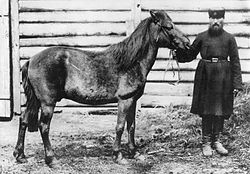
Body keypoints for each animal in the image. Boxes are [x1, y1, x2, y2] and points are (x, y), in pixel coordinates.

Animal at [13, 10, 189, 166]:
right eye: (169, 26)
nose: (187, 43)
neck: (131, 63)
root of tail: (31, 60)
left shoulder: (132, 100)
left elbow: (131, 126)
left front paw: (134, 153)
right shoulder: (124, 100)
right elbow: (120, 127)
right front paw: (118, 156)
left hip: (35, 100)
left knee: (24, 120)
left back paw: (20, 155)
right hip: (47, 103)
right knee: (44, 127)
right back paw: (51, 159)